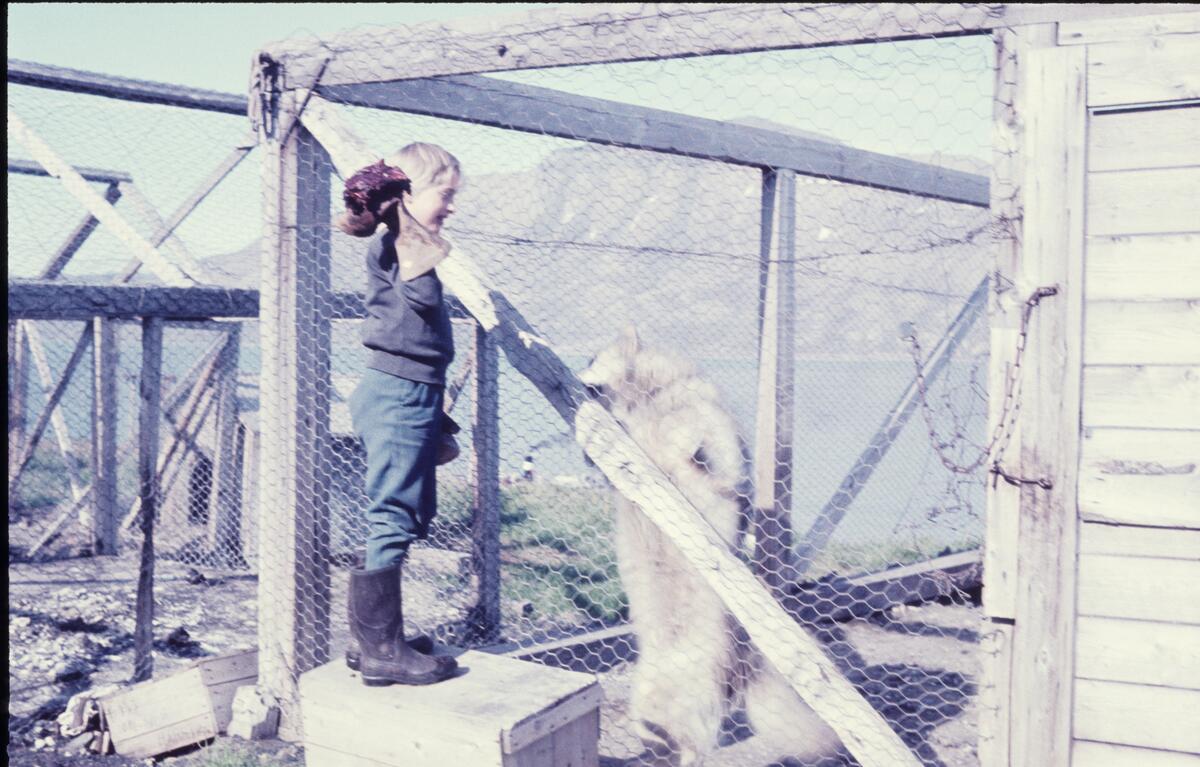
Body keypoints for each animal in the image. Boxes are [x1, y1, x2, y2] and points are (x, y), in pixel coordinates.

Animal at [576, 328, 840, 767]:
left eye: (593, 356)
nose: (582, 384)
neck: (651, 395)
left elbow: (681, 432)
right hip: (657, 704)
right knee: (670, 743)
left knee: (687, 747)